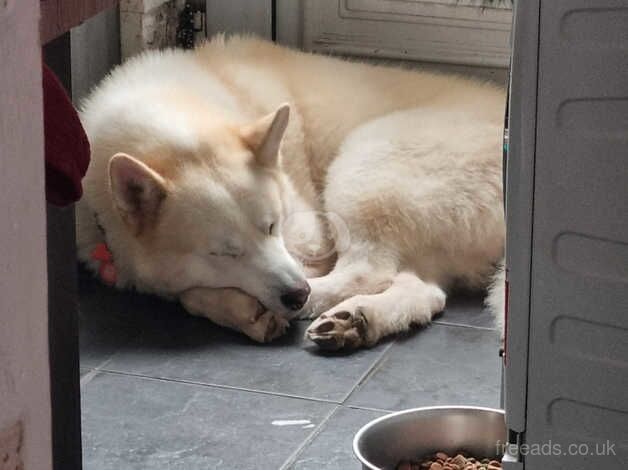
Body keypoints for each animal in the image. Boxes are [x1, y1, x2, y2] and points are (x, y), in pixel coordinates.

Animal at [76, 35, 506, 348]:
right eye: (223, 253)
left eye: (273, 226)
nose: (296, 295)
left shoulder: (309, 237)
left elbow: (188, 293)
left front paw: (244, 308)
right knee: (426, 292)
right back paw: (356, 321)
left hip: (364, 164)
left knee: (367, 270)